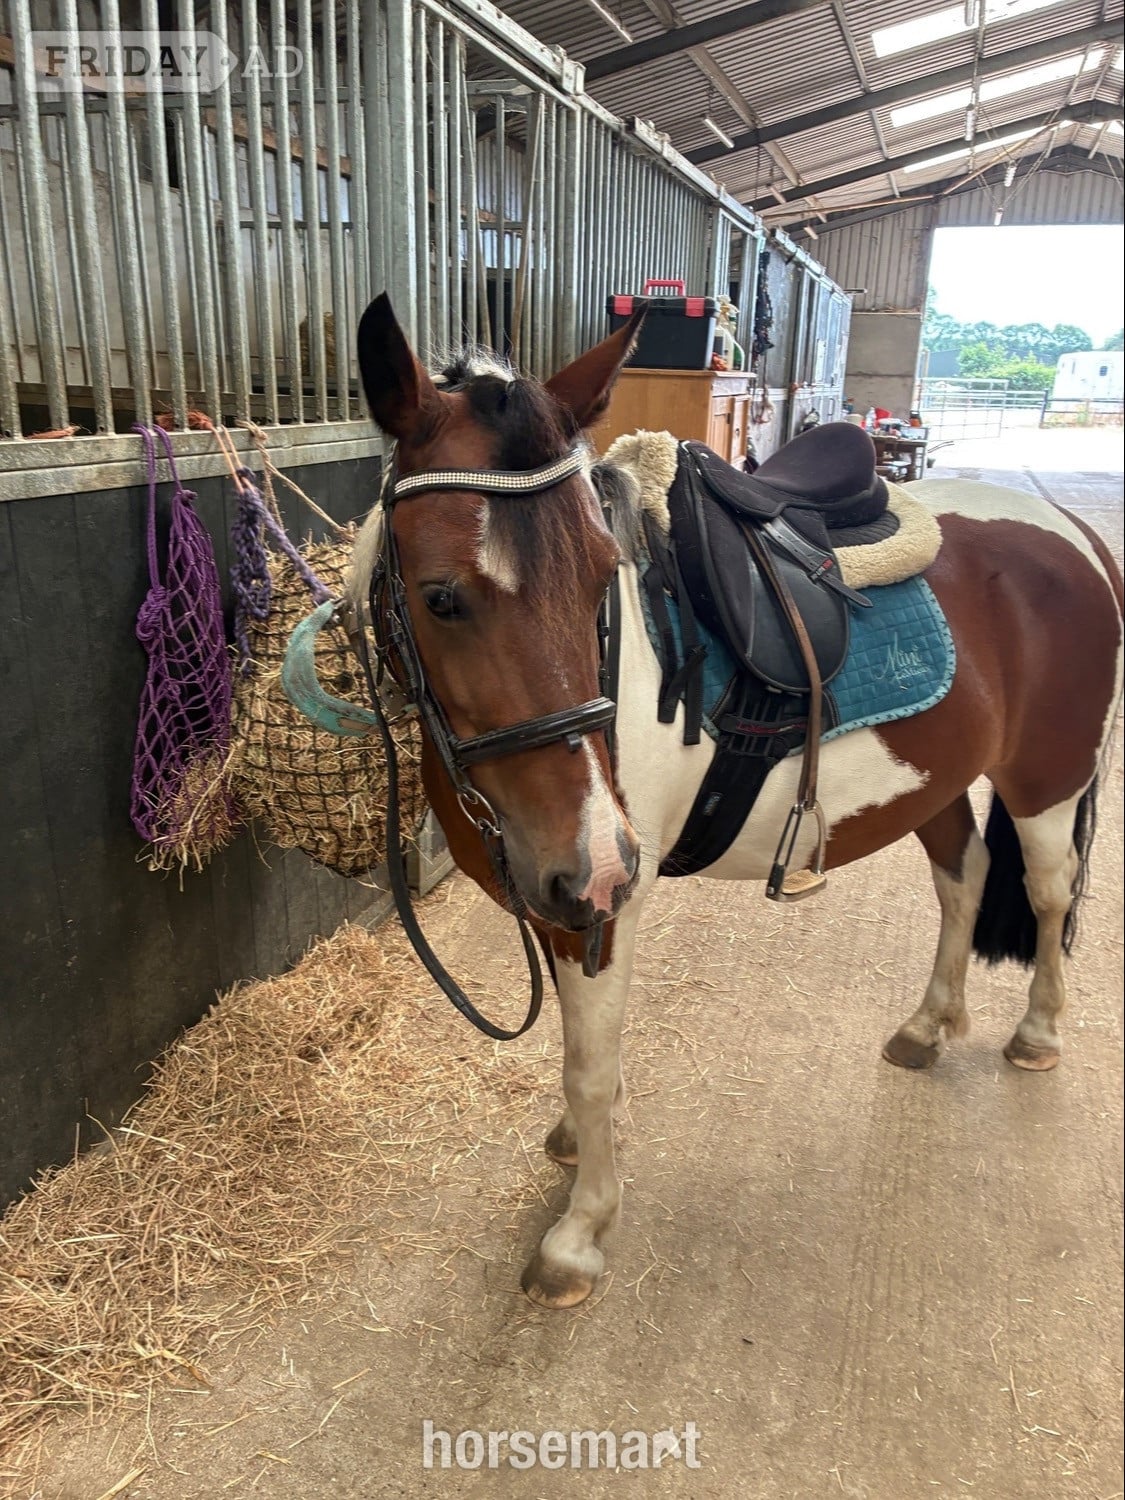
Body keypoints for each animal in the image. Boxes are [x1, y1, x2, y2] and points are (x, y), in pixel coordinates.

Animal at [345, 294, 1123, 1310]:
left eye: (601, 578)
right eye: (440, 598)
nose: (595, 854)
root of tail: (1066, 527)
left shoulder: (603, 901)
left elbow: (589, 1066)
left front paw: (581, 1231)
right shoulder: (562, 897)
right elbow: (578, 1049)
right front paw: (576, 1149)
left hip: (1043, 781)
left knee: (1042, 892)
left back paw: (1035, 1033)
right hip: (938, 785)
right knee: (963, 881)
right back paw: (926, 1024)